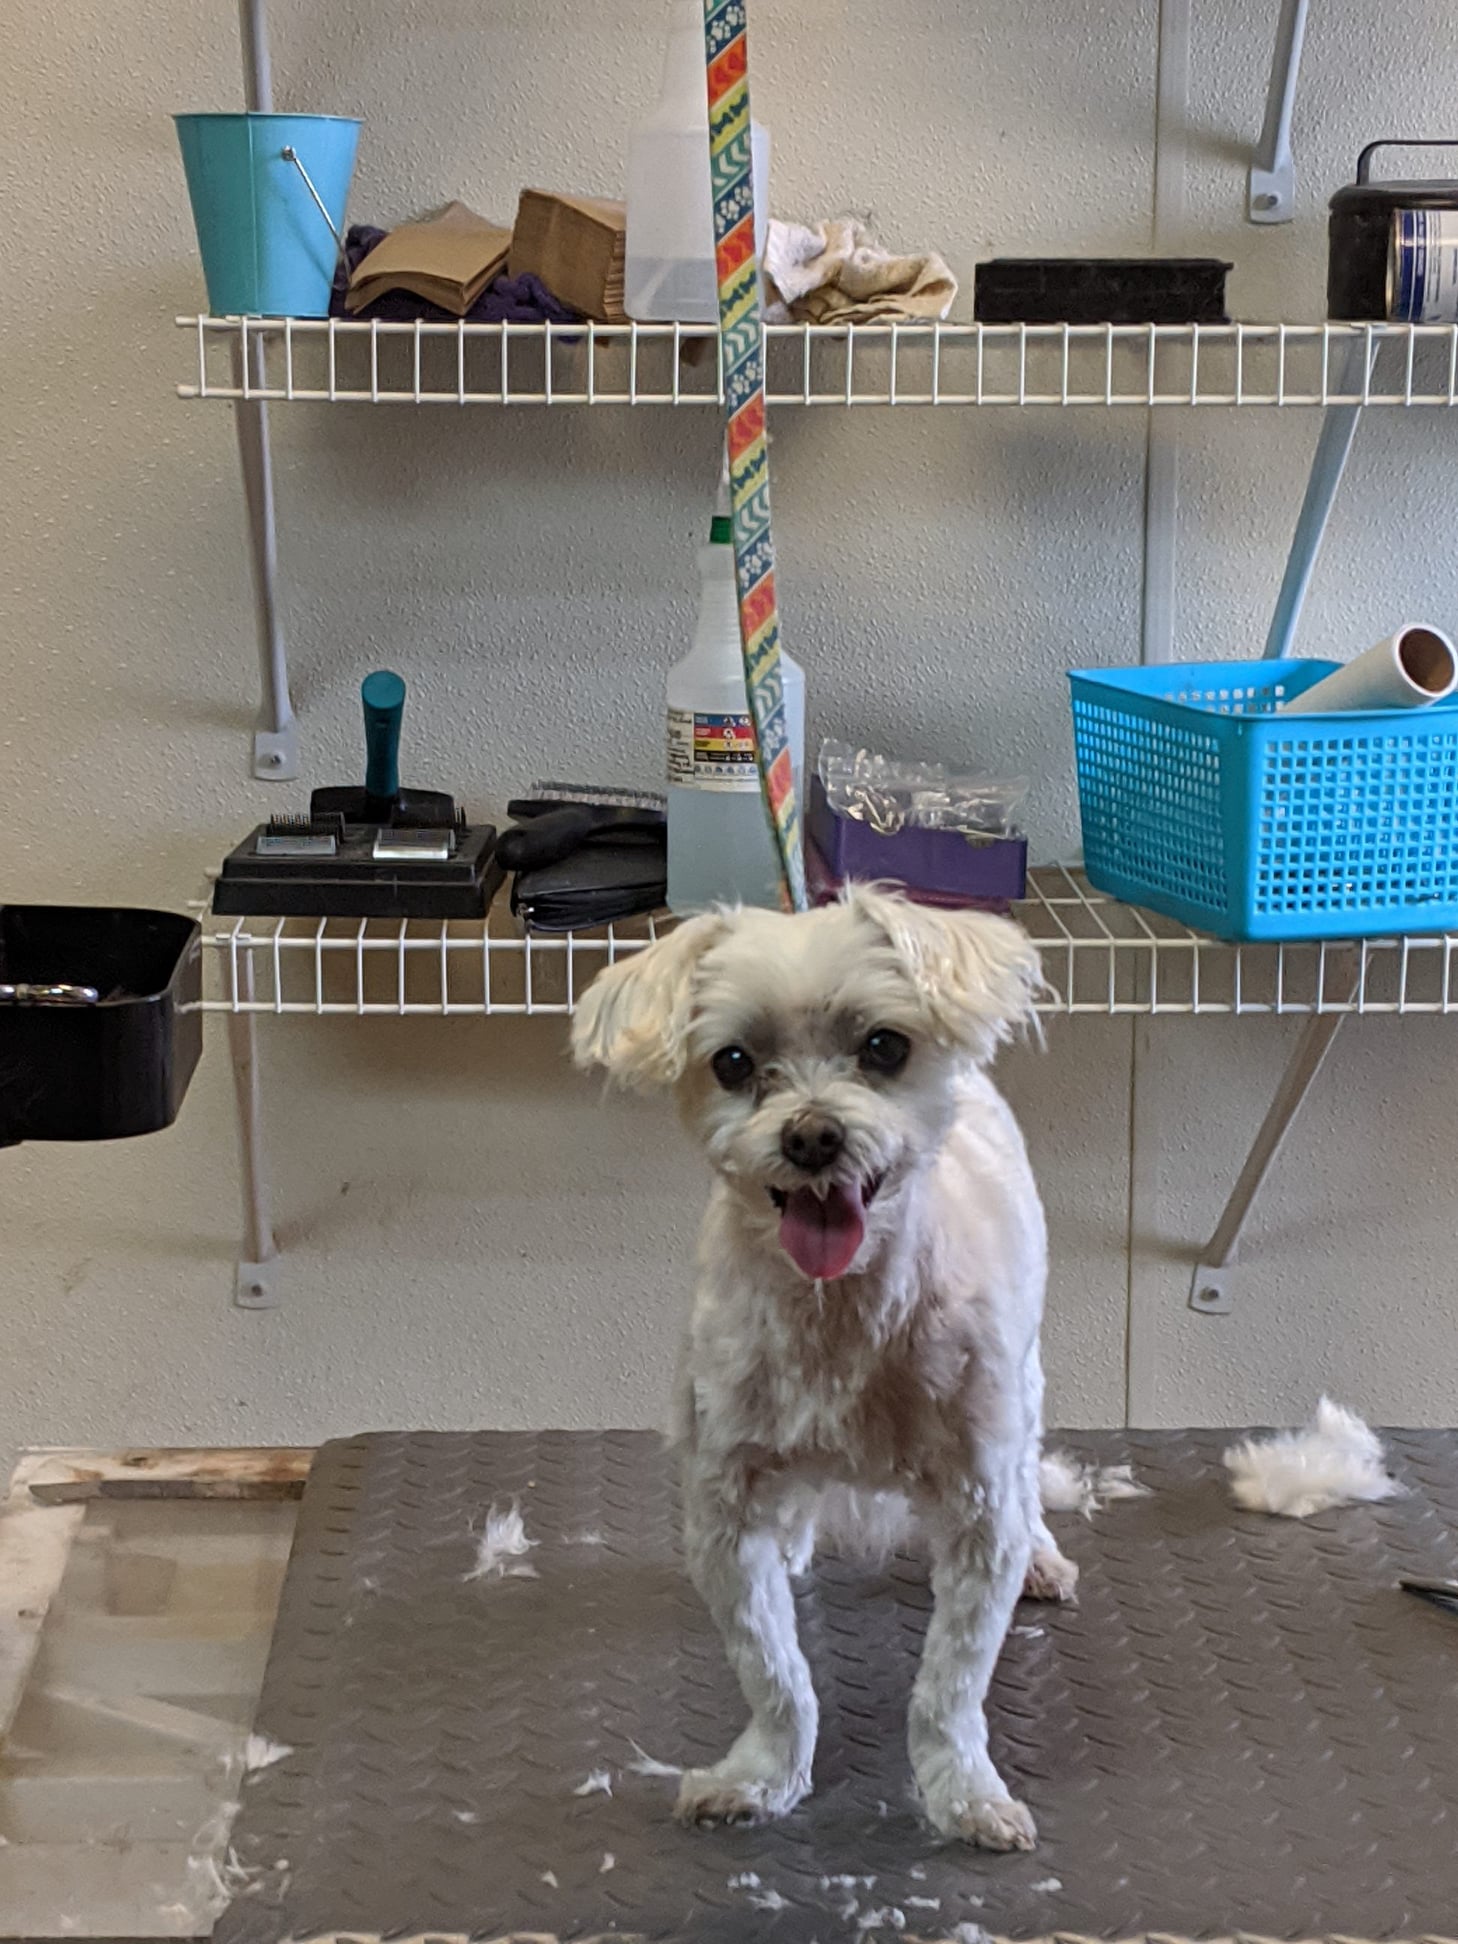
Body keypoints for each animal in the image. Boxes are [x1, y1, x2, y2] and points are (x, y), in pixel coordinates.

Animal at [571, 886, 1075, 1851]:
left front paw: (964, 1795)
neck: (840, 1318)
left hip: (1023, 1384)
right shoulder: (724, 1511)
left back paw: (1042, 1553)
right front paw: (763, 1776)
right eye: (733, 1062)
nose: (813, 1135)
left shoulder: (978, 1506)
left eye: (884, 1046)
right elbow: (774, 1674)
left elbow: (950, 1687)